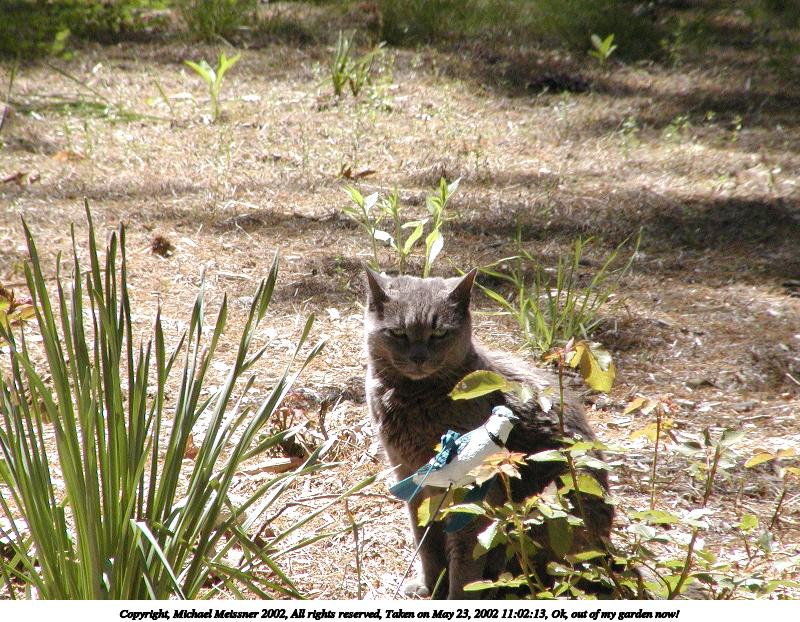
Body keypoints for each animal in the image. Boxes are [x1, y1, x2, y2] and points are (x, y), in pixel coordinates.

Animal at [364, 267, 614, 599]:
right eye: (398, 334)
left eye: (439, 334)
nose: (418, 357)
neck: (415, 400)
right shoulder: (408, 474)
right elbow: (425, 540)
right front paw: (429, 586)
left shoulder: (471, 489)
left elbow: (464, 557)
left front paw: (456, 597)